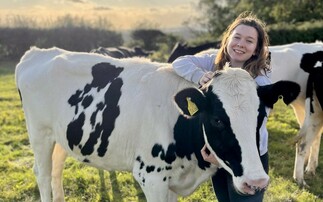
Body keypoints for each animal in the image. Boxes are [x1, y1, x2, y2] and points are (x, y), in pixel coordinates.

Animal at [15, 46, 302, 201]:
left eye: (261, 116)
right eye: (218, 120)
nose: (257, 182)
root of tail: (38, 53)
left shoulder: (171, 181)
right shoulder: (150, 177)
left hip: (61, 136)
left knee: (56, 171)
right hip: (39, 134)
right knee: (42, 174)